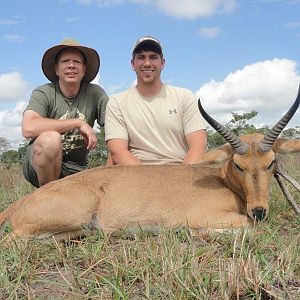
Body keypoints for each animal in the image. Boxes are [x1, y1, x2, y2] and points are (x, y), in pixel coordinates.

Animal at [0, 87, 300, 241]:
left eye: (271, 162)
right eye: (238, 164)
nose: (259, 210)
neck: (221, 183)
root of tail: (20, 203)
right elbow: (247, 227)